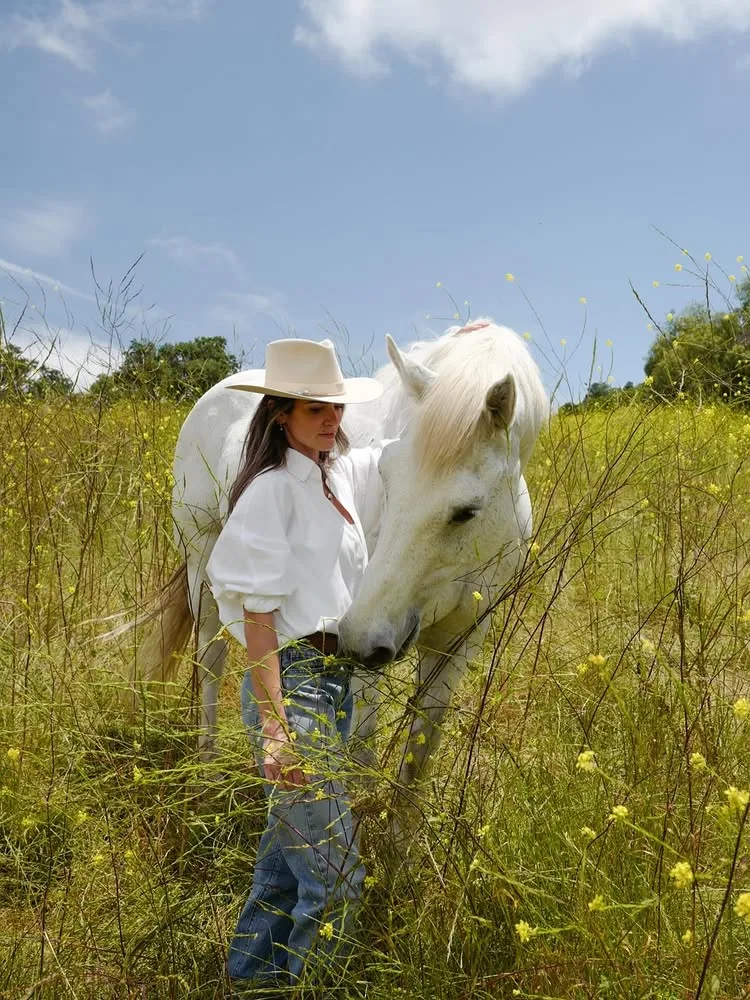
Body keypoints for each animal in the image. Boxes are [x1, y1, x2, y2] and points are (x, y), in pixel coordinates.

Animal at [132, 319, 548, 789]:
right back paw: (207, 765)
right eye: (385, 474)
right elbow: (363, 753)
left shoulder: (458, 644)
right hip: (201, 565)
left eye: (466, 511)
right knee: (210, 661)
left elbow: (417, 758)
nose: (360, 640)